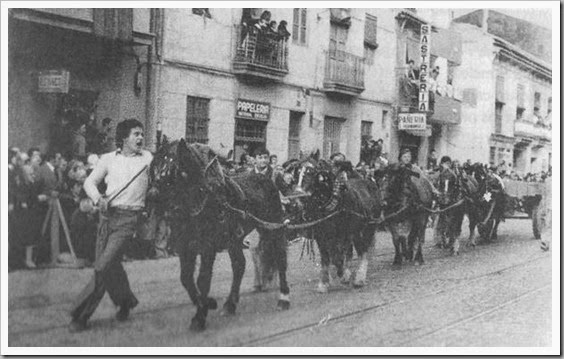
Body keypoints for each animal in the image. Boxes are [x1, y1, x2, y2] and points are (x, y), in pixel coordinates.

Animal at [151, 138, 290, 332]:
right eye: (154, 167)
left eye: (176, 170)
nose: (152, 197)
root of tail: (265, 179)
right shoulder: (185, 246)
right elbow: (186, 278)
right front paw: (208, 303)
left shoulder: (208, 247)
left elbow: (203, 279)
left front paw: (200, 317)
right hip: (235, 238)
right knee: (239, 265)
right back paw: (230, 304)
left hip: (272, 228)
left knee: (280, 258)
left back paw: (284, 298)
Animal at [294, 153, 382, 292]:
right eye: (297, 172)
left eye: (311, 172)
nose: (298, 199)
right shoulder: (321, 236)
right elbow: (326, 257)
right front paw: (324, 283)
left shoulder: (343, 234)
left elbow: (337, 258)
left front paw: (343, 276)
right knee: (352, 251)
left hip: (367, 228)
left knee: (363, 251)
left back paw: (359, 278)